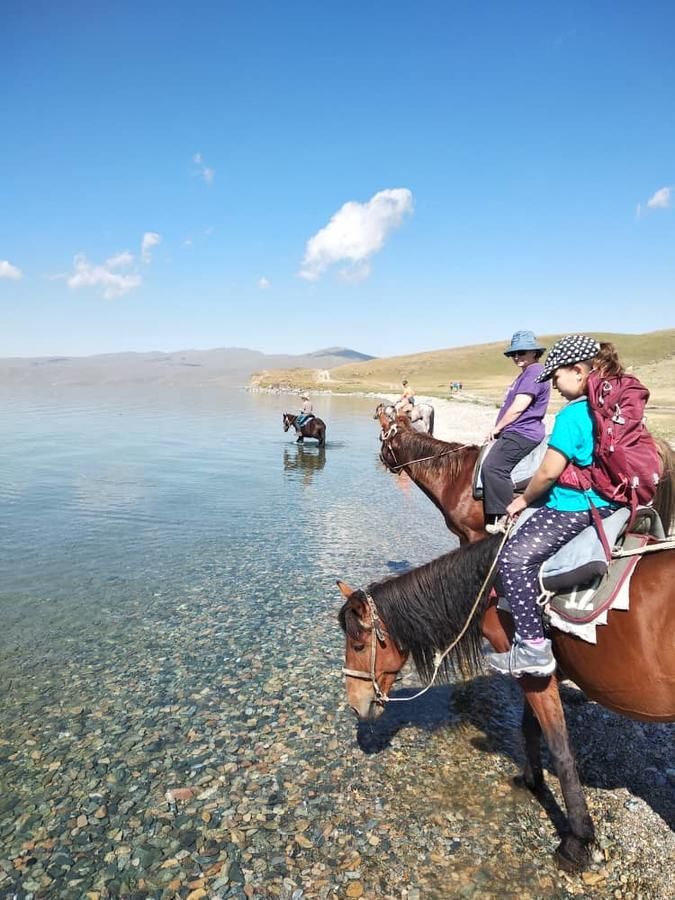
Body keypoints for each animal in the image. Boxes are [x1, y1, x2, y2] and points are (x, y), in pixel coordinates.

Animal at [340, 536, 675, 872]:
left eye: (358, 645)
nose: (355, 705)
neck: (491, 583)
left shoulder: (533, 671)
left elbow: (559, 746)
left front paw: (577, 841)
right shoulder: (531, 673)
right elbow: (529, 728)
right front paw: (531, 779)